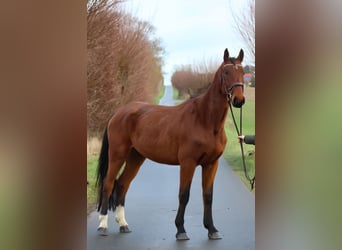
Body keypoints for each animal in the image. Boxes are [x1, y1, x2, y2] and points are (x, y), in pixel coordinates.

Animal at [96, 48, 244, 240]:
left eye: (243, 72)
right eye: (226, 73)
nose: (239, 100)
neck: (204, 120)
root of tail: (118, 113)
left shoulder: (211, 164)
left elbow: (208, 196)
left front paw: (212, 229)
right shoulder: (188, 163)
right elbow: (184, 195)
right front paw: (180, 230)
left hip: (136, 157)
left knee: (122, 184)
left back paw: (123, 224)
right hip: (117, 155)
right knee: (108, 183)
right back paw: (103, 225)